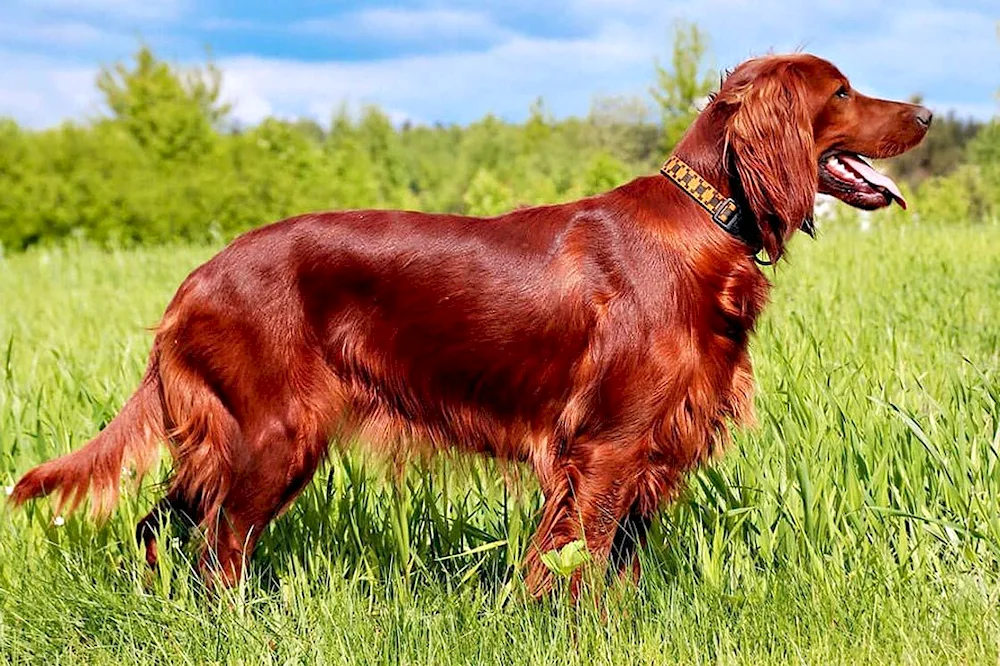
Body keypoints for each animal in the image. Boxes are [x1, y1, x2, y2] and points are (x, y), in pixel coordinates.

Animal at [7, 52, 928, 592]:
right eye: (842, 91)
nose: (923, 113)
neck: (703, 223)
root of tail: (193, 281)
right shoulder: (607, 446)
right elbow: (579, 569)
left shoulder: (649, 448)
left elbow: (615, 572)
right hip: (276, 434)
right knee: (217, 551)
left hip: (226, 440)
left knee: (160, 526)